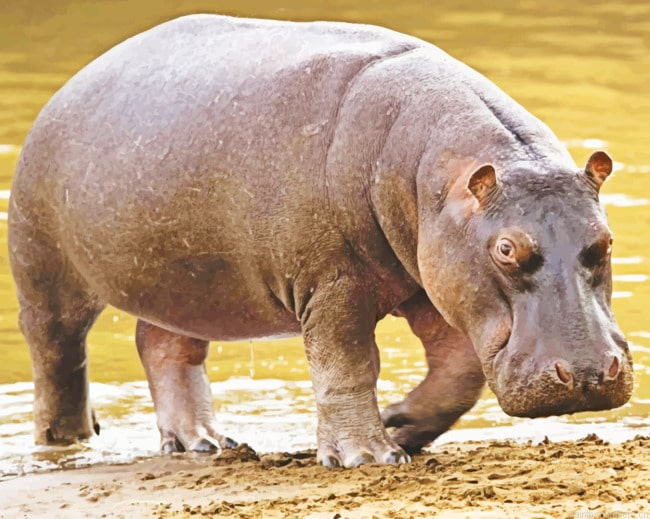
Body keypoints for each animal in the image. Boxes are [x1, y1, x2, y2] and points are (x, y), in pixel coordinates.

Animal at [8, 14, 632, 468]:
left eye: (604, 240)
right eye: (506, 249)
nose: (585, 377)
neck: (437, 175)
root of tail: (71, 83)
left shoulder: (432, 283)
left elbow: (459, 372)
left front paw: (401, 425)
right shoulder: (331, 284)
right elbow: (348, 364)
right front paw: (368, 458)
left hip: (183, 282)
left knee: (164, 348)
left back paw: (204, 444)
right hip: (46, 272)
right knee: (58, 359)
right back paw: (64, 444)